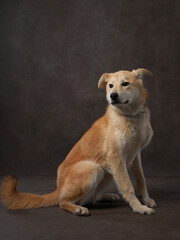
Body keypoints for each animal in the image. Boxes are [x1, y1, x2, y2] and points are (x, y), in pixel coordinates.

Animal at [1, 68, 156, 216]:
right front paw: (139, 207)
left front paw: (146, 200)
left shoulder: (135, 155)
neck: (131, 116)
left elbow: (141, 179)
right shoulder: (116, 158)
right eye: (110, 86)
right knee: (63, 202)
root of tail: (59, 189)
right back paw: (76, 208)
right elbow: (127, 186)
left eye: (125, 83)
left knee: (90, 198)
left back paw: (105, 196)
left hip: (106, 174)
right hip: (93, 168)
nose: (112, 95)